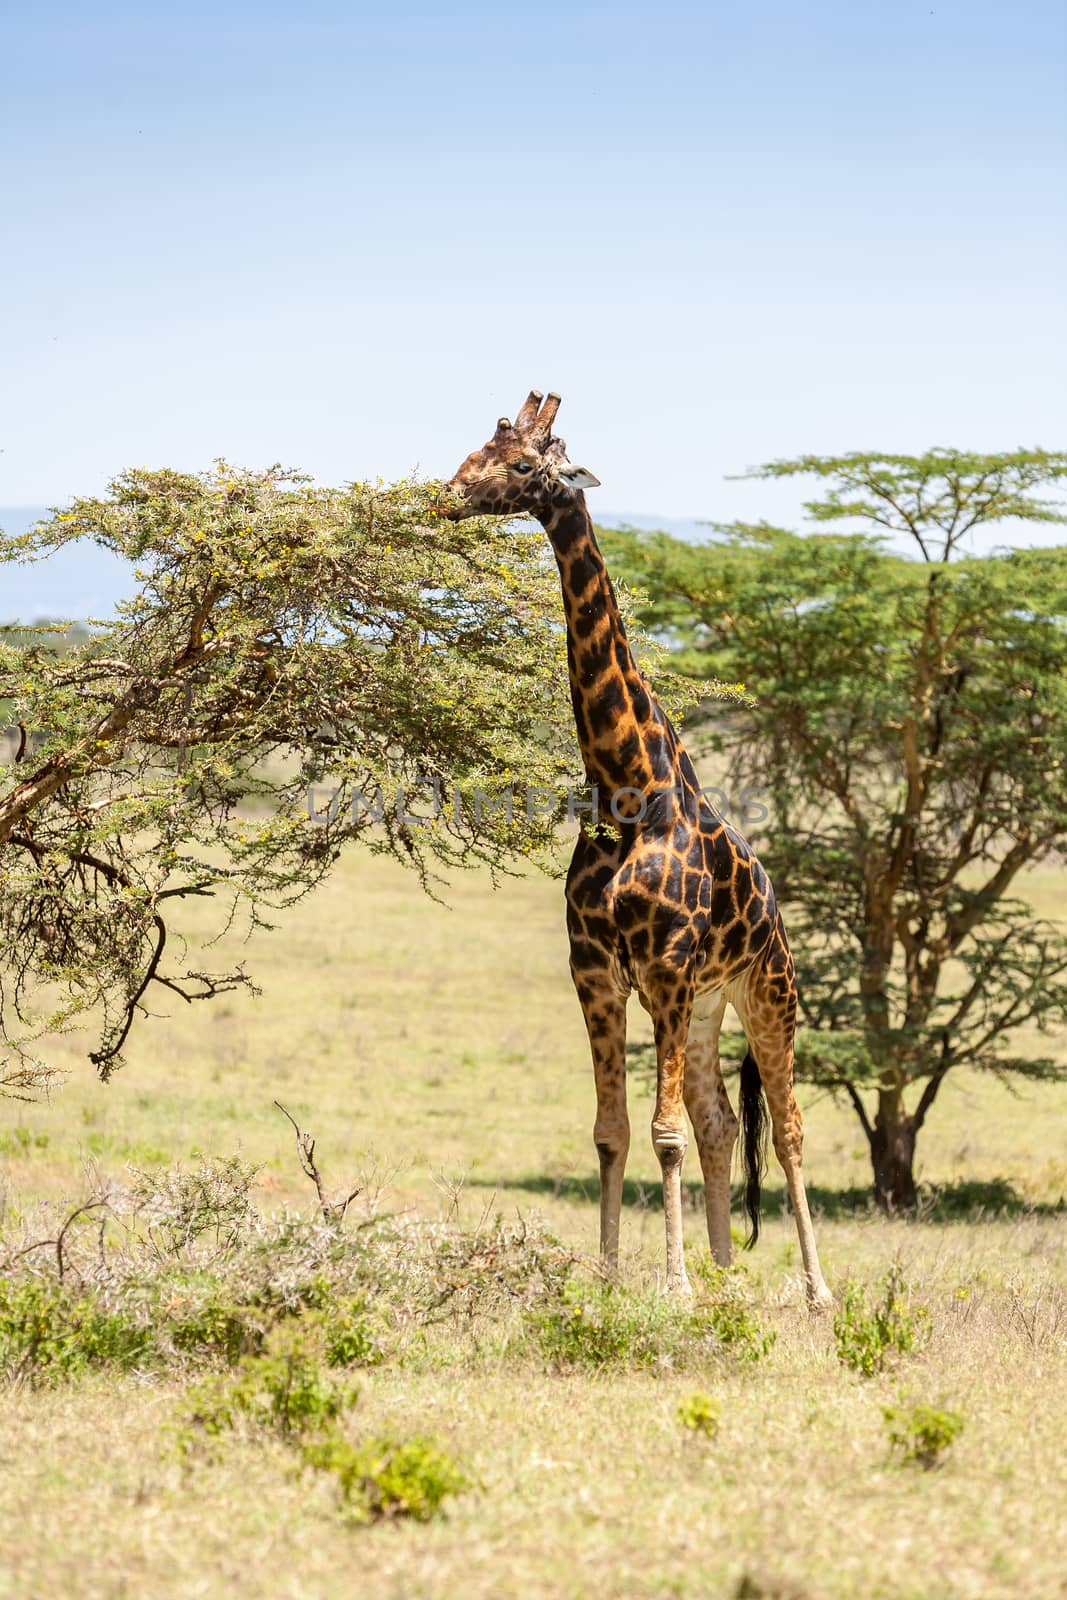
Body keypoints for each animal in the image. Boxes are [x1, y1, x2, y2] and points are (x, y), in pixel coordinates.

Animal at [441, 384, 831, 1299]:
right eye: (475, 450)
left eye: (521, 464)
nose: (443, 499)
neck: (628, 788)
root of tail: (775, 911)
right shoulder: (594, 970)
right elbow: (613, 1130)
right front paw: (615, 1277)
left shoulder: (662, 967)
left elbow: (663, 1134)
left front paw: (673, 1286)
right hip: (706, 1004)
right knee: (722, 1121)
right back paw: (726, 1274)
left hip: (766, 989)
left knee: (787, 1127)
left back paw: (813, 1290)